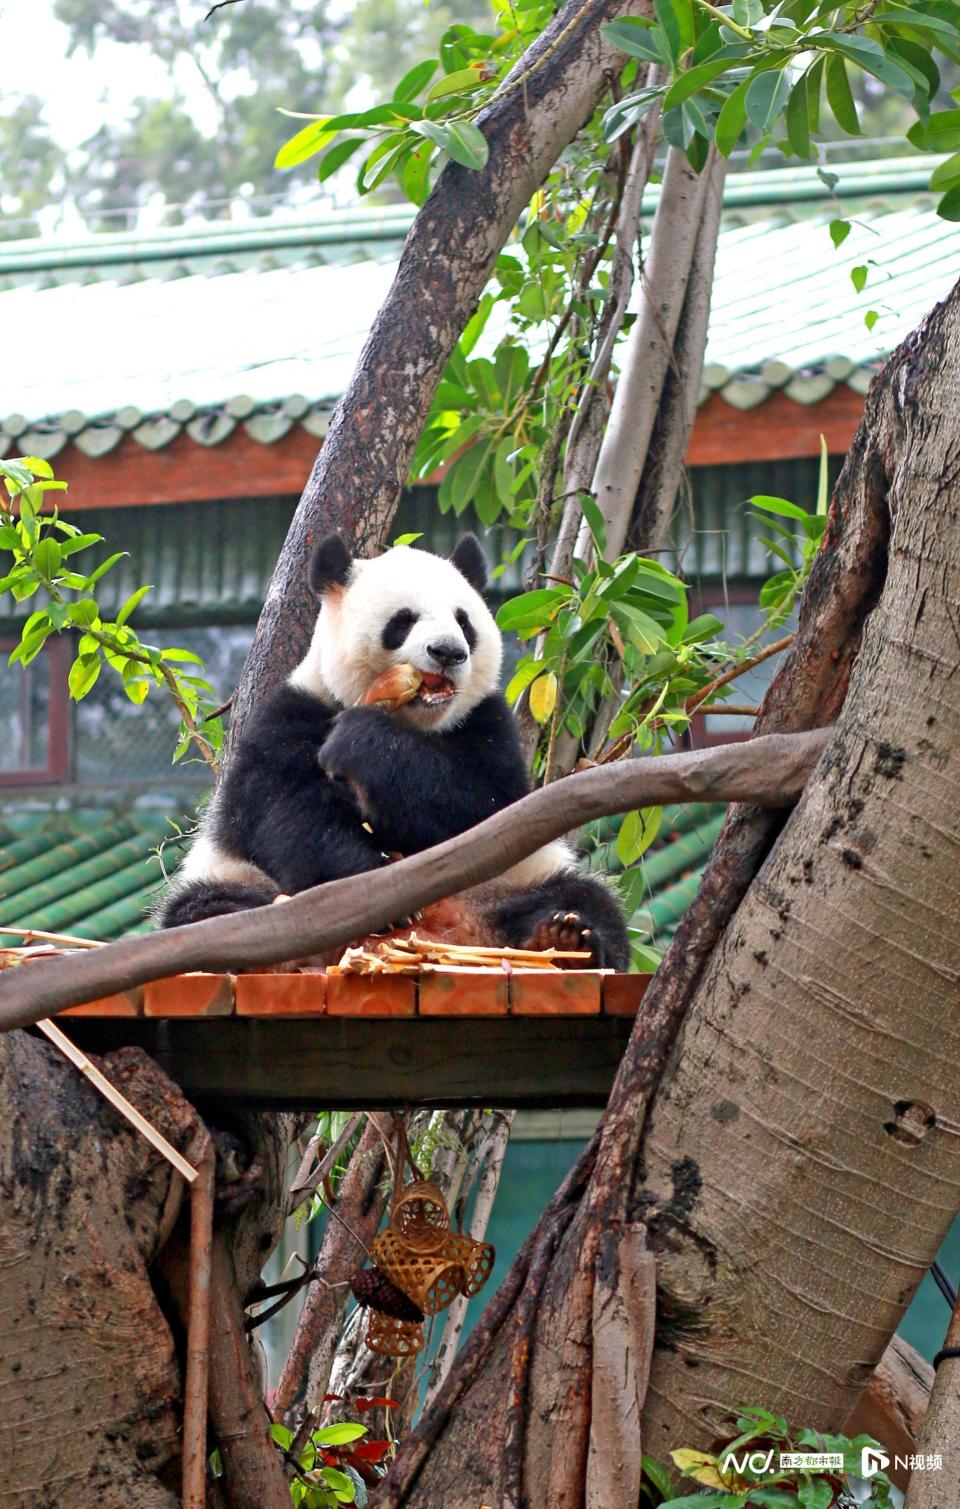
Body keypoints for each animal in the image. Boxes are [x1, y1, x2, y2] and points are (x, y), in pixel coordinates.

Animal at [159, 531, 630, 965]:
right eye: (403, 620)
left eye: (464, 621)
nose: (449, 652)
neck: (409, 718)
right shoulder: (292, 714)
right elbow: (285, 811)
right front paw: (365, 887)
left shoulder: (486, 723)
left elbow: (482, 805)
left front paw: (361, 742)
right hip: (236, 879)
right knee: (206, 913)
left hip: (518, 877)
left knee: (585, 899)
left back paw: (565, 939)